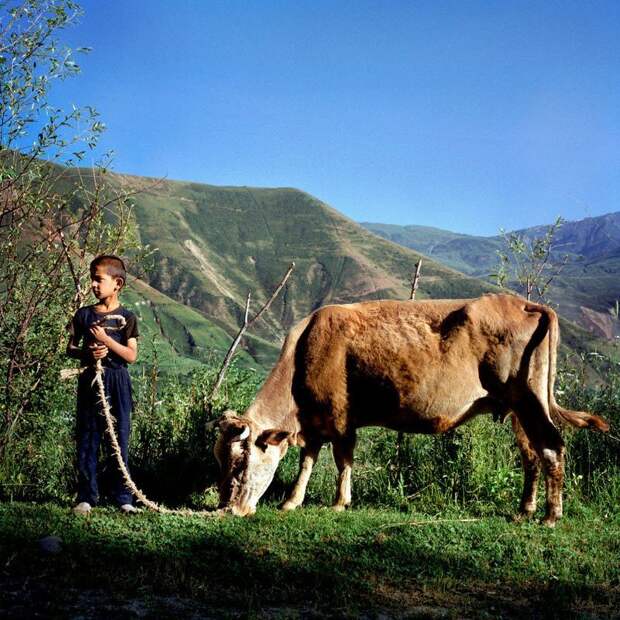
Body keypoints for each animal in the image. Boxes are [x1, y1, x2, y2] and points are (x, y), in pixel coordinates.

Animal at [212, 294, 604, 524]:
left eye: (241, 462)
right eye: (221, 460)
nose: (227, 508)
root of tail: (520, 302)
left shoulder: (339, 416)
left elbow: (341, 459)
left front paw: (340, 502)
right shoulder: (315, 422)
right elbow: (307, 461)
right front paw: (292, 502)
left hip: (529, 400)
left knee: (552, 447)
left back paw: (551, 516)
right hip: (519, 409)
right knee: (532, 455)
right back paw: (525, 509)